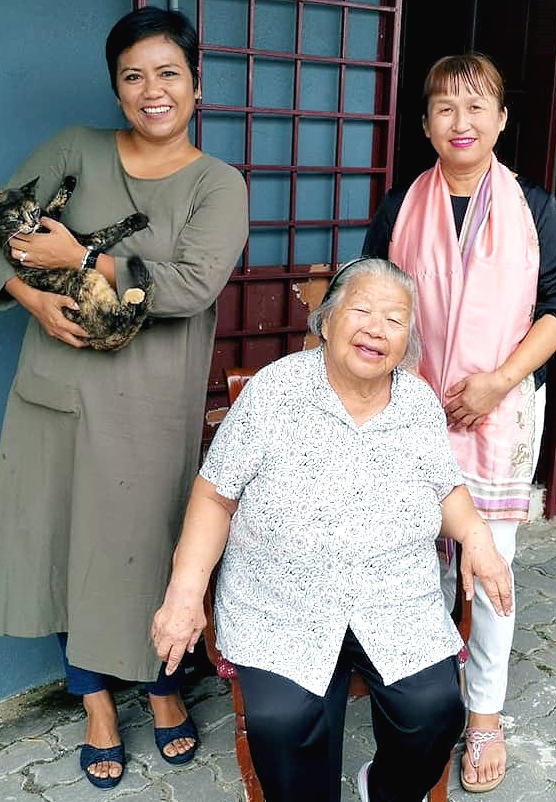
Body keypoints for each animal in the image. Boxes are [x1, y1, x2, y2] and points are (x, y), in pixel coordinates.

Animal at [0, 175, 154, 350]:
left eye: (34, 211)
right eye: (15, 218)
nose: (32, 224)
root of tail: (94, 341)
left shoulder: (49, 218)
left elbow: (54, 206)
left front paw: (69, 181)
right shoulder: (85, 241)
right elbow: (106, 233)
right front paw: (136, 220)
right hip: (85, 276)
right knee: (121, 319)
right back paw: (136, 295)